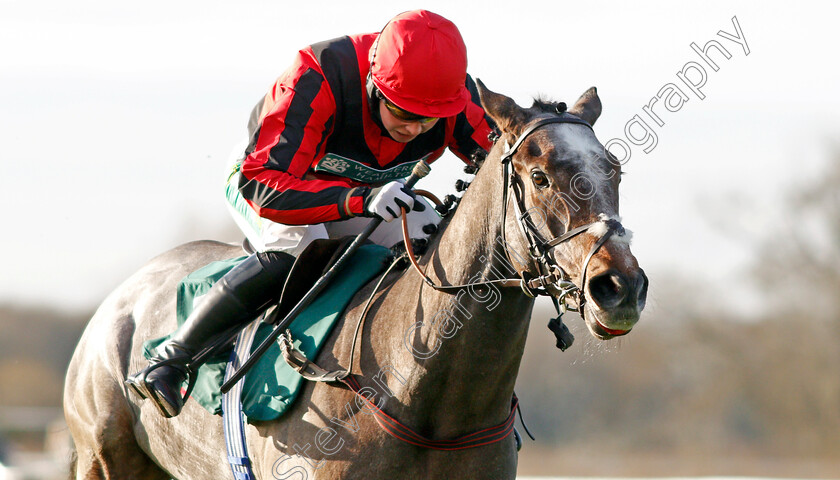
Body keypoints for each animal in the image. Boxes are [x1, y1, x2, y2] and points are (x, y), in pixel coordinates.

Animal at [65, 83, 648, 480]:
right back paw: (165, 369)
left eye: (614, 170)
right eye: (540, 176)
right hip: (105, 458)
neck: (426, 394)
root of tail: (118, 300)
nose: (620, 287)